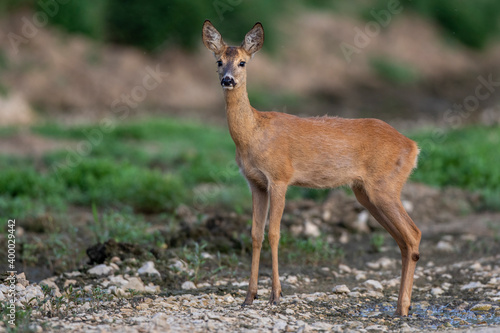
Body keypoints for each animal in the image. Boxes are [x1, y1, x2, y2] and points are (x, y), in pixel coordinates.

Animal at [203, 19, 422, 316]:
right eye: (218, 61)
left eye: (242, 62)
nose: (228, 79)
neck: (253, 133)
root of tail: (413, 146)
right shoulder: (255, 183)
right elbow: (255, 234)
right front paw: (249, 297)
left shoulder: (280, 177)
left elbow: (274, 233)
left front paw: (276, 295)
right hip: (365, 192)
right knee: (402, 239)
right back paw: (400, 306)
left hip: (385, 184)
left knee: (413, 234)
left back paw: (403, 308)